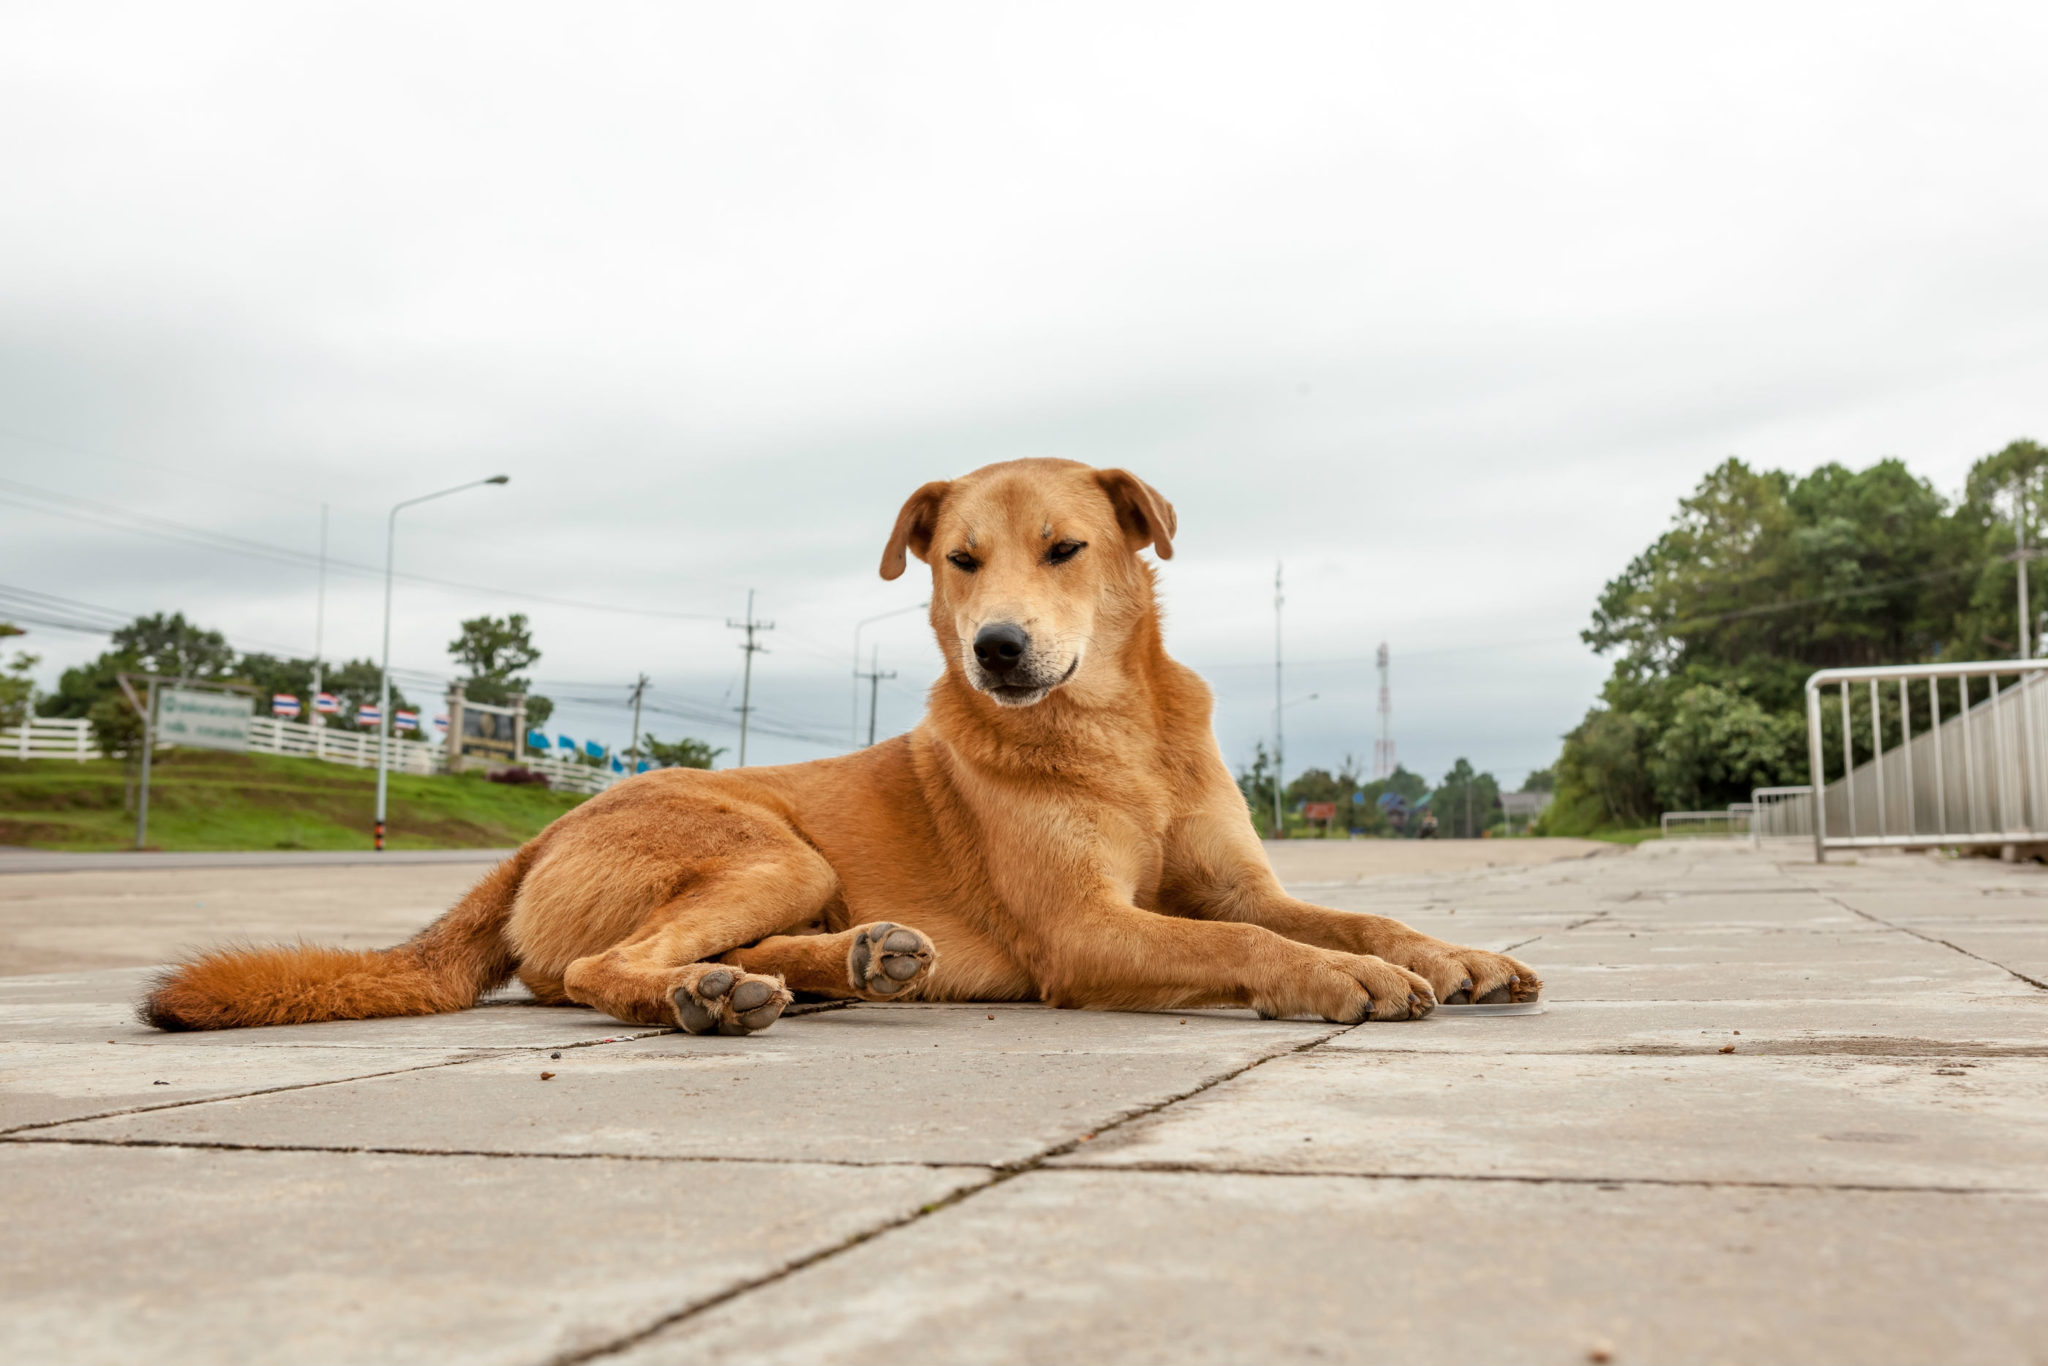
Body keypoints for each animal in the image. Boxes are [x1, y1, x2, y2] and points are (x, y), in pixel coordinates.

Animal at [140, 462, 1540, 1036]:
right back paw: (712, 1000)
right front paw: (1335, 979)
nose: (997, 650)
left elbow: (1349, 915)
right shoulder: (1088, 930)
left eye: (1065, 549)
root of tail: (544, 828)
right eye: (958, 561)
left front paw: (1452, 954)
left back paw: (847, 965)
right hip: (767, 848)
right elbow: (1254, 947)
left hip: (788, 874)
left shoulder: (1240, 879)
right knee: (597, 968)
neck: (1118, 740)